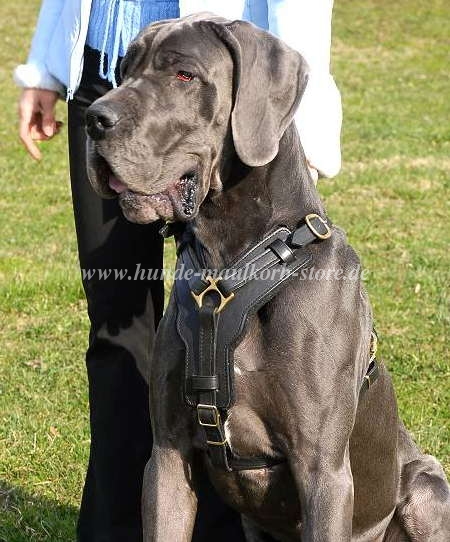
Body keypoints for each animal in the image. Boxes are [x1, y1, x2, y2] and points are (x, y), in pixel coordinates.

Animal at [85, 12, 450, 542]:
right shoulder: (167, 457)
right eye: (122, 71)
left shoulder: (324, 471)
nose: (93, 118)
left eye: (184, 75)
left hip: (427, 484)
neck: (232, 268)